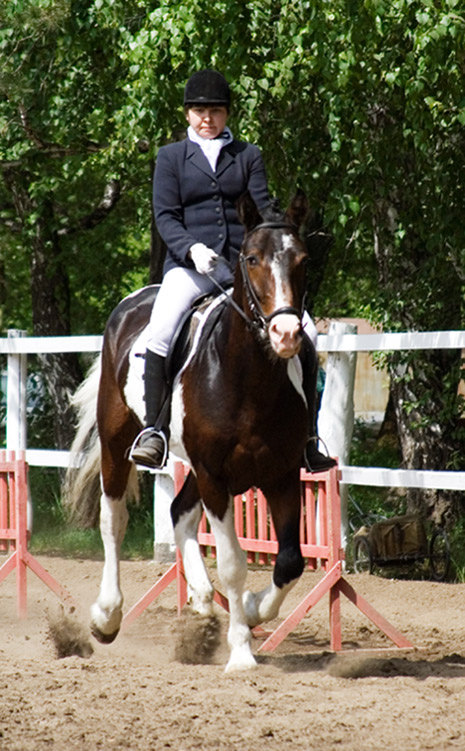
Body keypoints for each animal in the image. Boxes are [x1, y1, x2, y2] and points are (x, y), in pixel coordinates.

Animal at [67, 191, 318, 672]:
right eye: (252, 259)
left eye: (302, 259)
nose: (286, 334)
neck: (250, 378)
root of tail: (132, 302)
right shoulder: (216, 477)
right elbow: (234, 564)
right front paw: (241, 651)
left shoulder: (279, 475)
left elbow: (290, 562)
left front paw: (252, 609)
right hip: (117, 443)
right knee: (114, 520)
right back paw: (107, 616)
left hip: (199, 473)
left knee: (179, 513)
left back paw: (202, 603)